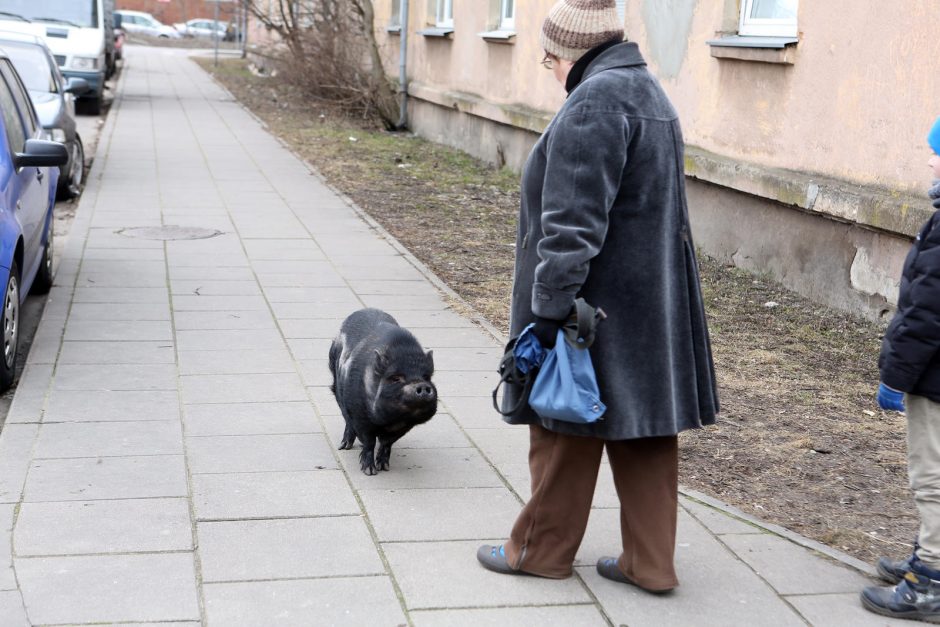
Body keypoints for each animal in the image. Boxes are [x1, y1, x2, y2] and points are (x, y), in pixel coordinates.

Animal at [326, 310, 436, 476]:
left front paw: (385, 468)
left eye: (426, 377)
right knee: (348, 421)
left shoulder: (403, 427)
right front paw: (370, 472)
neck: (390, 420)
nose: (422, 385)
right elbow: (369, 442)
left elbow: (387, 443)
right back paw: (344, 447)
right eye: (395, 378)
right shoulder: (360, 416)